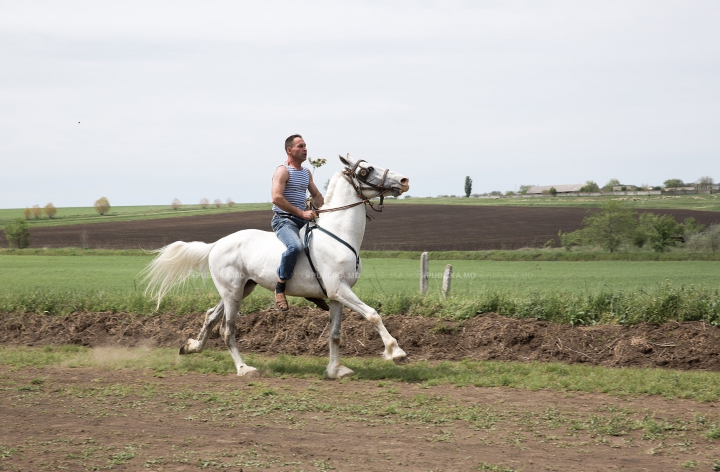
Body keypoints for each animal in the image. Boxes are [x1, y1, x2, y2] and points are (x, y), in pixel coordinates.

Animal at [142, 155, 410, 380]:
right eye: (367, 170)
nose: (404, 180)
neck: (337, 235)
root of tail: (217, 244)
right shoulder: (339, 290)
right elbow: (373, 314)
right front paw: (396, 352)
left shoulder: (336, 296)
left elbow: (335, 334)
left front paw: (336, 370)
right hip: (232, 293)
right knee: (227, 330)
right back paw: (244, 368)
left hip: (242, 289)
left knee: (210, 316)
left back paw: (191, 347)